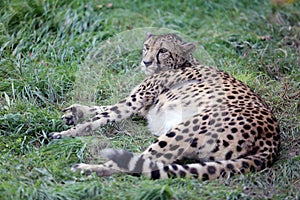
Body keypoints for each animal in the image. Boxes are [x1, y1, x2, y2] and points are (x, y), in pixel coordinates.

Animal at [50, 32, 280, 180]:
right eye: (146, 47)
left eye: (163, 51)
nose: (146, 62)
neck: (181, 63)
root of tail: (272, 138)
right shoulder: (141, 106)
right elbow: (103, 108)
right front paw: (74, 112)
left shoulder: (135, 101)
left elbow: (103, 116)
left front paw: (66, 133)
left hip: (184, 129)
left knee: (138, 164)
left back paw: (86, 169)